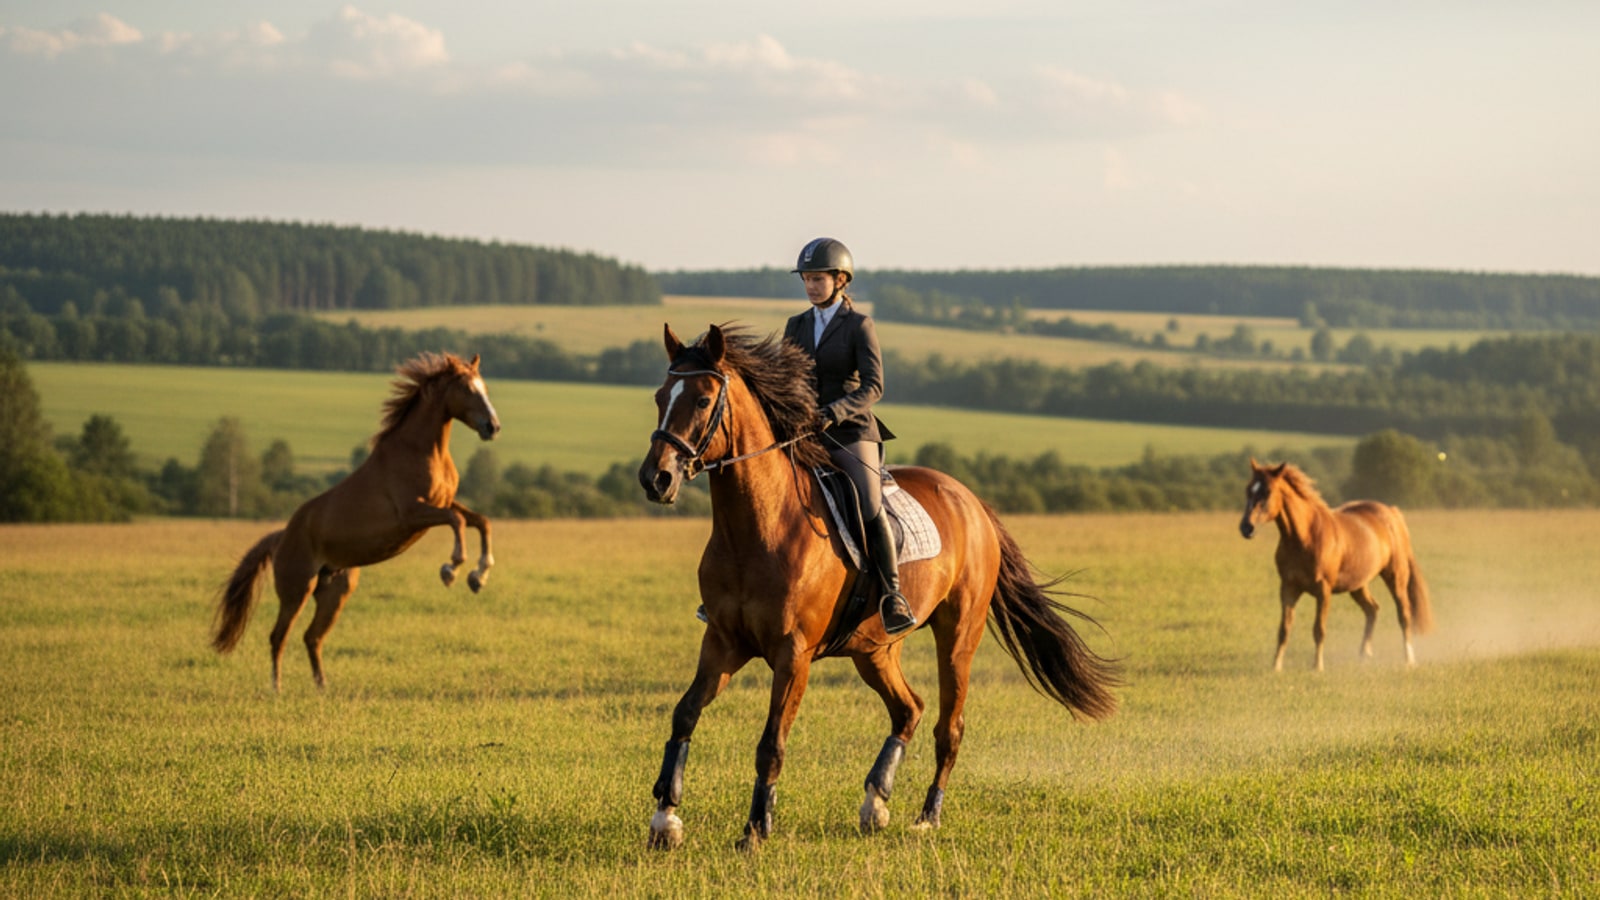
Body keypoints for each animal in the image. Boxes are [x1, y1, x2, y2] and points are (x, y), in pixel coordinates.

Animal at [212, 351, 501, 691]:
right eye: (468, 390)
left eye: (485, 388)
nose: (493, 426)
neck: (421, 453)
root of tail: (280, 537)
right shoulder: (413, 513)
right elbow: (457, 521)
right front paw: (451, 570)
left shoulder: (441, 504)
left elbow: (480, 521)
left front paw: (478, 577)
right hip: (297, 588)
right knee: (278, 637)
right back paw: (277, 689)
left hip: (335, 592)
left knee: (311, 637)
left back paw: (322, 689)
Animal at [636, 324, 1120, 851]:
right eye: (660, 396)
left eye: (704, 400)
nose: (655, 478)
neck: (755, 528)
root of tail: (972, 502)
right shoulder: (723, 641)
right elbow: (684, 714)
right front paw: (664, 820)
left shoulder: (793, 654)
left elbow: (771, 744)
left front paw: (755, 831)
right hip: (875, 649)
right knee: (909, 709)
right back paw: (876, 803)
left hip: (958, 637)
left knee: (949, 725)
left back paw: (927, 816)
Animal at [1239, 459, 1434, 671]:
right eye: (1248, 490)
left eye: (1267, 492)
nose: (1246, 527)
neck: (1305, 537)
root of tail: (1392, 513)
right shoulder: (1288, 588)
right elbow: (1284, 629)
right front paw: (1276, 667)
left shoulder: (1323, 590)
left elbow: (1319, 629)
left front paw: (1317, 667)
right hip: (1358, 585)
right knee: (1372, 609)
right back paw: (1364, 654)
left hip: (1396, 577)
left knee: (1404, 615)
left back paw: (1409, 660)